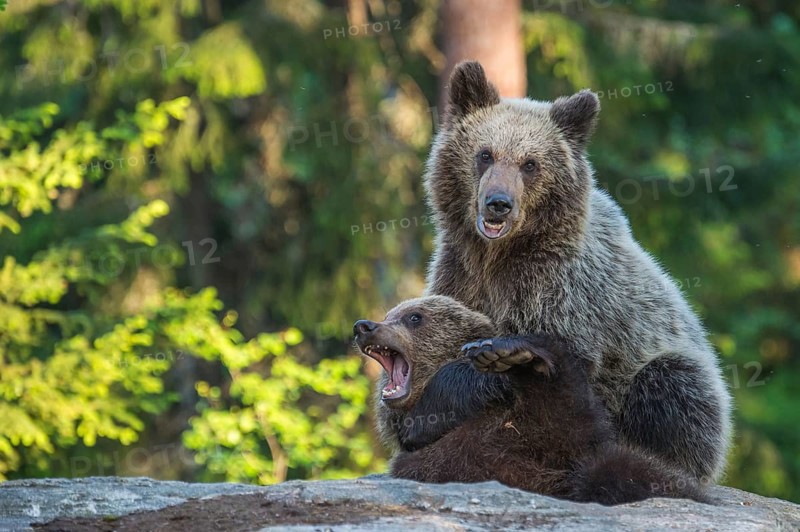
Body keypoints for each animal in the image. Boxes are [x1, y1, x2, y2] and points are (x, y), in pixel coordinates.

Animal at [353, 295, 708, 505]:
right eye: (390, 313)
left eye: (414, 317)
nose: (364, 325)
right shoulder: (424, 456)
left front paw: (498, 355)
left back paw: (522, 358)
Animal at [401, 61, 732, 483]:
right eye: (485, 154)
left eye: (530, 163)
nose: (498, 204)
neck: (498, 257)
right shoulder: (460, 275)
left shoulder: (561, 289)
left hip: (680, 373)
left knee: (672, 385)